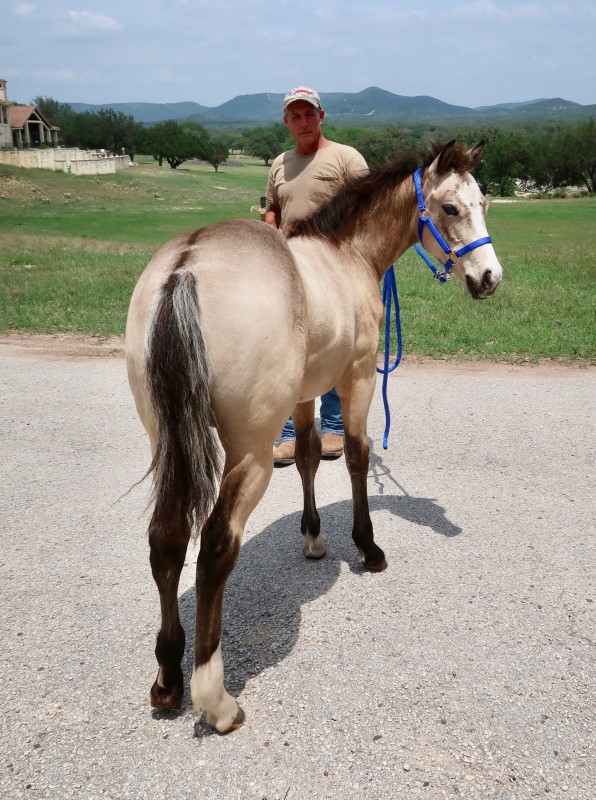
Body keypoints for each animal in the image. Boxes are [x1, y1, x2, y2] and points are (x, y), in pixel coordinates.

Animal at [125, 141, 502, 736]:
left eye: (483, 201)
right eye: (450, 208)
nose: (490, 277)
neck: (346, 255)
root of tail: (187, 266)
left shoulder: (304, 396)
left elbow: (305, 457)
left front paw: (313, 539)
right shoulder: (358, 379)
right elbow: (354, 458)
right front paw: (367, 547)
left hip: (168, 441)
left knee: (166, 540)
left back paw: (167, 679)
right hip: (249, 455)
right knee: (214, 547)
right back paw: (216, 698)